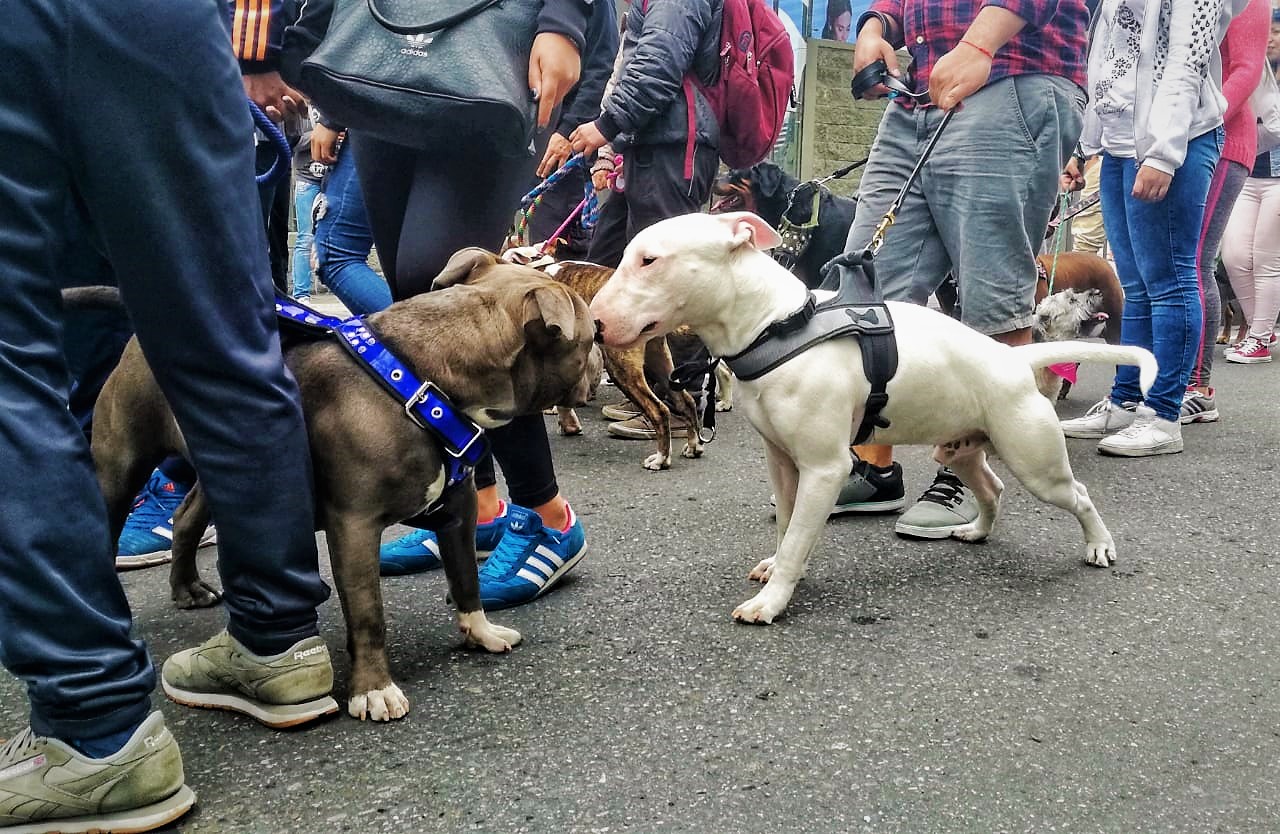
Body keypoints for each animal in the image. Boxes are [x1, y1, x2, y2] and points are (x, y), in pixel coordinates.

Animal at [588, 214, 1162, 624]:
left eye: (649, 260)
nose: (593, 323)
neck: (776, 323)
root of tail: (1015, 360)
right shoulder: (782, 461)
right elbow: (787, 526)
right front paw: (777, 568)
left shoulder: (824, 468)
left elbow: (798, 537)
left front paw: (773, 602)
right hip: (962, 448)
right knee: (992, 488)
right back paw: (977, 530)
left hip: (1036, 461)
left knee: (1078, 495)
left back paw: (1098, 545)